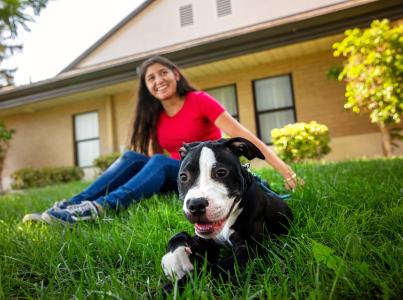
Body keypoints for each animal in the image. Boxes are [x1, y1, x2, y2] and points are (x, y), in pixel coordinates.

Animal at [161, 138, 294, 286]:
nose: (196, 205)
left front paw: (176, 286)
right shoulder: (206, 241)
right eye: (183, 177)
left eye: (221, 173)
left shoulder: (248, 252)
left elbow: (213, 270)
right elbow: (179, 234)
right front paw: (174, 258)